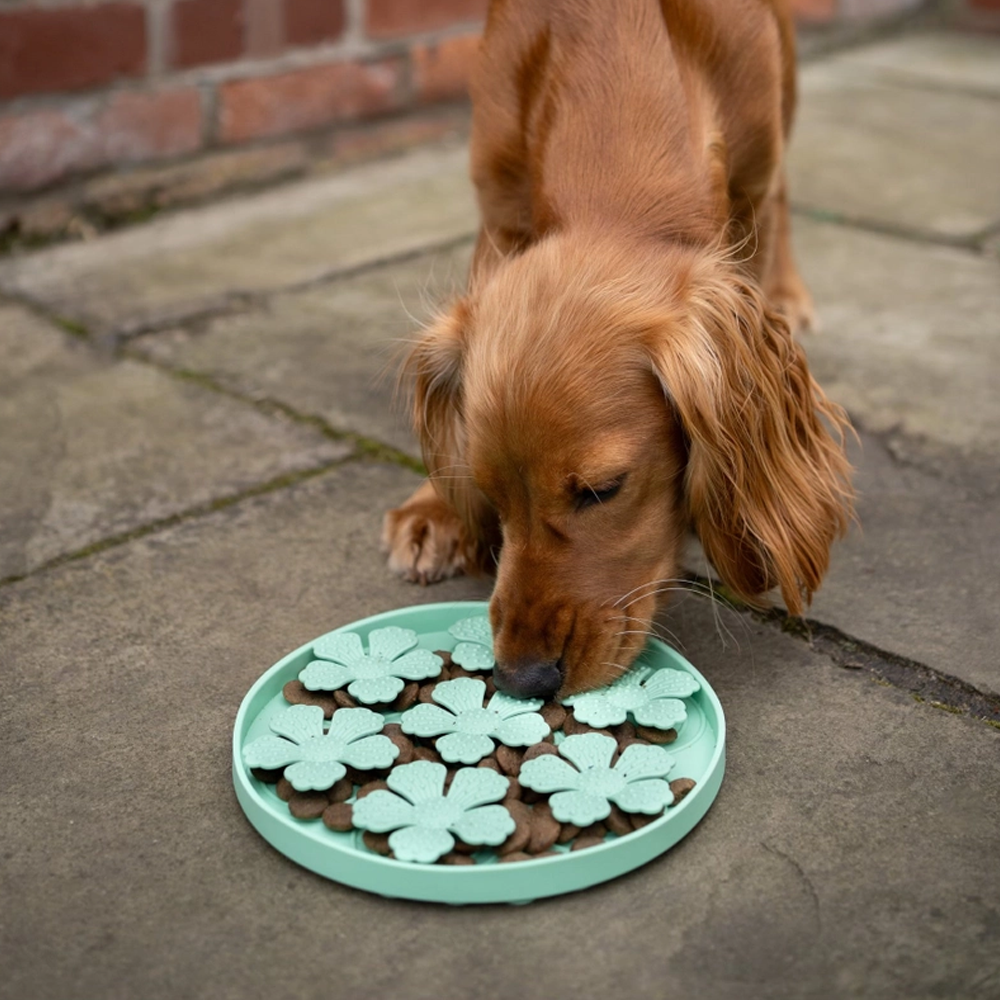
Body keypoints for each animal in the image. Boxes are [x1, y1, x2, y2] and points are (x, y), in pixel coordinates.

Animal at [382, 0, 852, 700]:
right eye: (489, 489)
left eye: (603, 490)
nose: (522, 678)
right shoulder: (499, 208)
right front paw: (435, 507)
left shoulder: (749, 197)